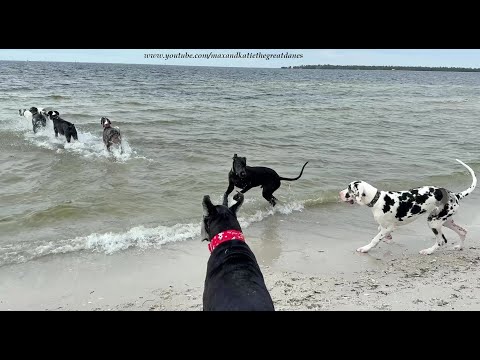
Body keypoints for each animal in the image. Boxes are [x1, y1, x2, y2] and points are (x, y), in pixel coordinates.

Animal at [338, 159, 476, 255]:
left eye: (349, 189)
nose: (339, 193)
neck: (378, 200)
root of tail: (455, 195)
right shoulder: (384, 226)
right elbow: (380, 230)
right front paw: (388, 238)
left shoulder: (389, 226)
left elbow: (375, 239)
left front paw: (366, 248)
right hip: (446, 221)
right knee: (463, 232)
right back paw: (459, 247)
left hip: (434, 222)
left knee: (442, 241)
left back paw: (428, 251)